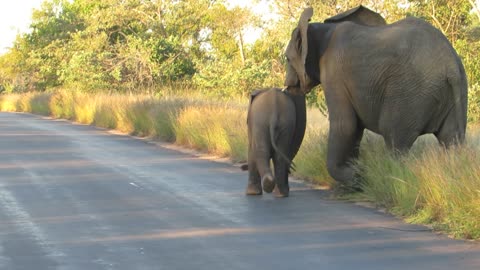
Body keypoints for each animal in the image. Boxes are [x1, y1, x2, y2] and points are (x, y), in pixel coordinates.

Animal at [284, 7, 466, 186]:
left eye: (287, 59)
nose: (287, 83)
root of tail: (450, 64)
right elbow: (355, 129)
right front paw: (356, 174)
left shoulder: (334, 74)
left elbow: (346, 125)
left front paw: (359, 175)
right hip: (453, 91)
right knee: (451, 140)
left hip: (410, 93)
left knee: (394, 138)